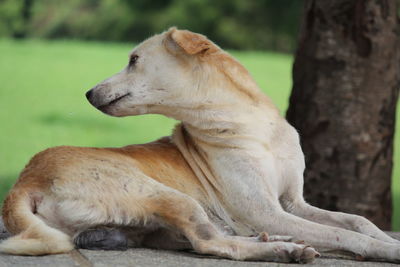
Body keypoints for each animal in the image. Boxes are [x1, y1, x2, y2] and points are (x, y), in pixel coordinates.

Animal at [0, 27, 400, 264]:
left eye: (133, 60)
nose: (88, 93)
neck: (254, 127)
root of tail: (24, 182)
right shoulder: (266, 210)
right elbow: (343, 233)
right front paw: (385, 248)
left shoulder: (292, 203)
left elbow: (356, 220)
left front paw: (382, 236)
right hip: (170, 197)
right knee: (212, 243)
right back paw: (283, 248)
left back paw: (273, 239)